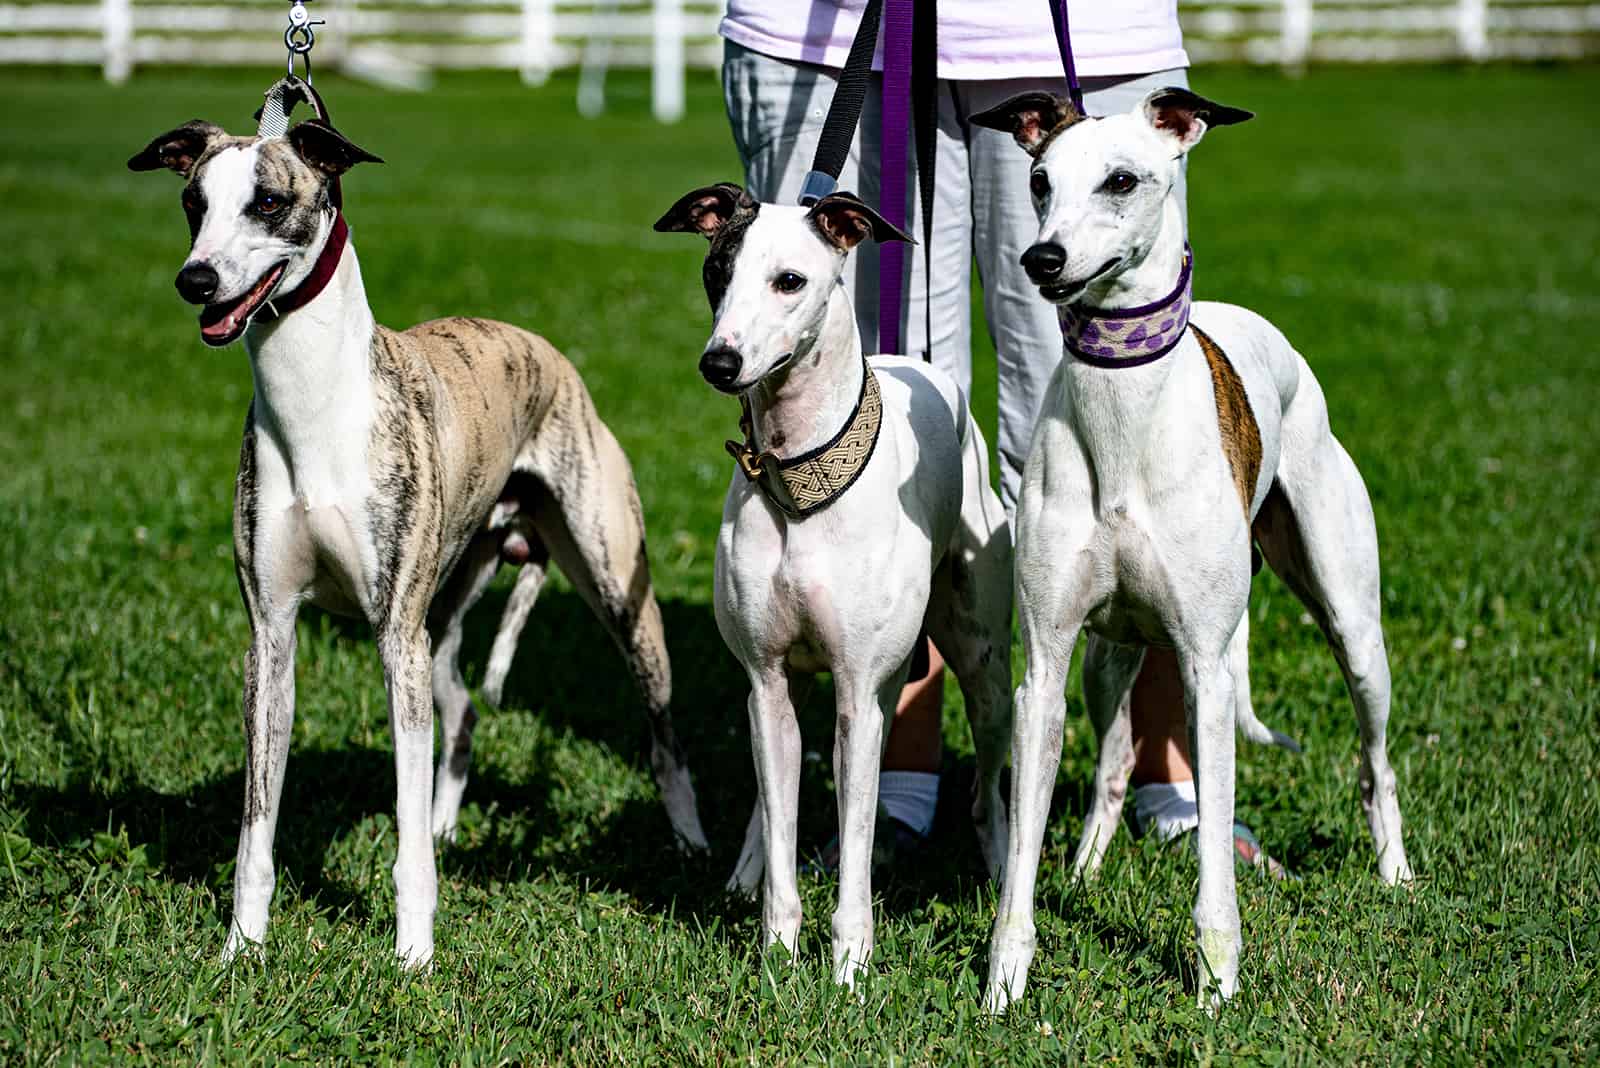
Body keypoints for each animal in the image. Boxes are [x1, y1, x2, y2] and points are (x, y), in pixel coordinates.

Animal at [124, 116, 700, 965]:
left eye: (269, 202)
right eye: (194, 203)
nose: (195, 282)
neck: (318, 410)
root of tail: (546, 352)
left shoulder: (394, 634)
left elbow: (405, 835)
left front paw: (414, 957)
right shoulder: (271, 635)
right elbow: (257, 827)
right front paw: (242, 951)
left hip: (615, 588)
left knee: (662, 730)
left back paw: (691, 842)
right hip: (449, 604)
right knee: (460, 714)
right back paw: (448, 820)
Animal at [652, 181, 1011, 984]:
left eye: (790, 281)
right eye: (716, 272)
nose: (720, 362)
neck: (801, 482)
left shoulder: (859, 695)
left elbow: (856, 839)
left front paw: (849, 969)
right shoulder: (767, 681)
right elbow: (784, 826)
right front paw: (777, 956)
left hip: (982, 663)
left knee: (994, 773)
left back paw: (1004, 861)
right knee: (771, 800)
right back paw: (746, 870)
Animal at [966, 85, 1420, 1010]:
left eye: (1121, 180)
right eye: (1038, 179)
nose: (1042, 258)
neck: (1123, 409)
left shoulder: (1207, 671)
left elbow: (1213, 851)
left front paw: (1217, 981)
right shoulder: (1045, 668)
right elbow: (1023, 844)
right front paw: (1005, 982)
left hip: (1354, 628)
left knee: (1376, 762)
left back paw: (1394, 872)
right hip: (1109, 658)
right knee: (1112, 765)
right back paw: (1087, 872)